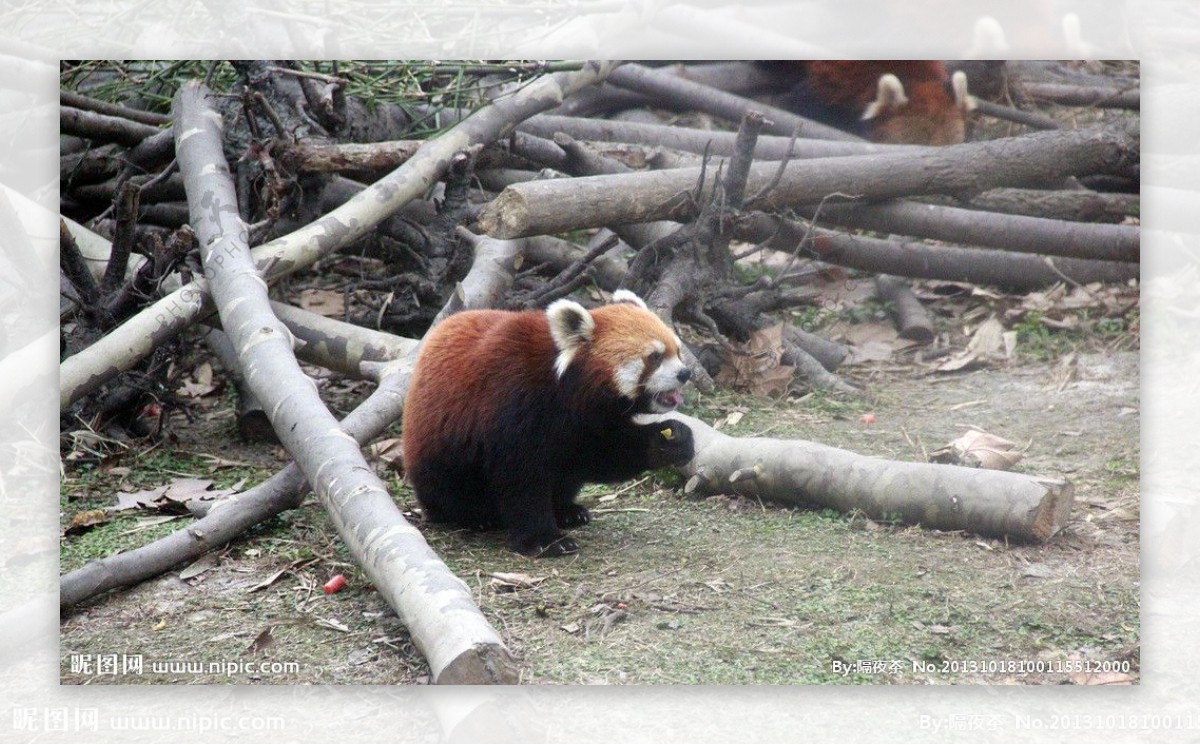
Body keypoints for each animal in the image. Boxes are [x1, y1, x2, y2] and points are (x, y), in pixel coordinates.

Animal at [400, 287, 696, 554]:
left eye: (678, 351)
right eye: (654, 357)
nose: (685, 373)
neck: (565, 390)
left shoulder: (589, 422)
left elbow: (606, 452)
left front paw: (671, 441)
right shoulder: (513, 400)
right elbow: (521, 478)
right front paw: (545, 540)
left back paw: (567, 510)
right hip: (439, 449)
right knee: (450, 486)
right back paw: (476, 515)